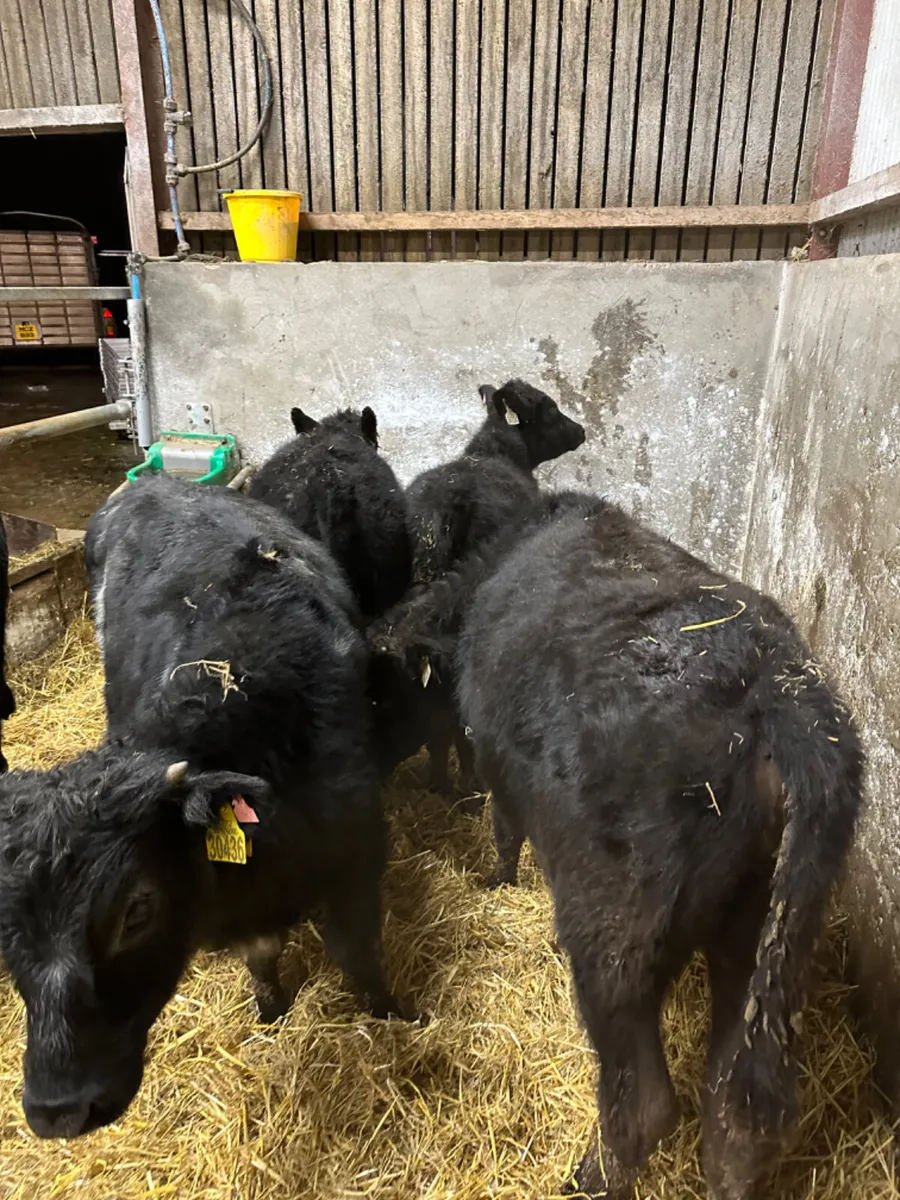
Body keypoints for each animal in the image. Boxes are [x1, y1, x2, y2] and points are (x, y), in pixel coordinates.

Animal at [0, 475, 401, 1140]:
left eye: (137, 909)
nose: (56, 1110)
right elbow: (261, 955)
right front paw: (271, 1011)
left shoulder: (358, 854)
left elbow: (358, 954)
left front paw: (395, 1014)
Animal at [455, 495, 863, 1200]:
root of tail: (778, 690)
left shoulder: (492, 765)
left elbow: (503, 834)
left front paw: (497, 883)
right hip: (762, 936)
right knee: (735, 1108)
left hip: (616, 935)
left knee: (644, 1103)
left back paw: (588, 1178)